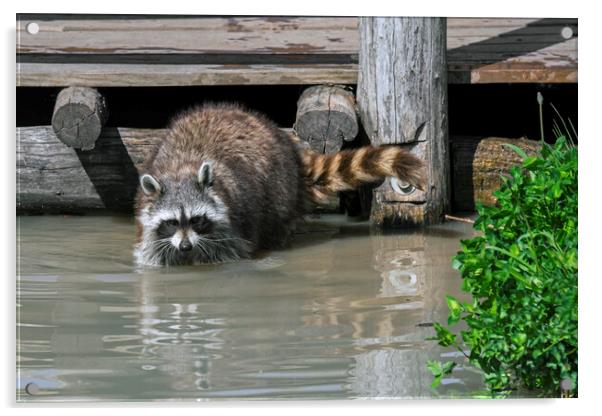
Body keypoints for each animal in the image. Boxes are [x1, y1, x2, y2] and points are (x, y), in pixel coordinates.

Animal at [132, 104, 422, 266]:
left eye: (196, 219)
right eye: (171, 221)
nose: (185, 247)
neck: (181, 169)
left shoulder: (233, 224)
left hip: (279, 190)